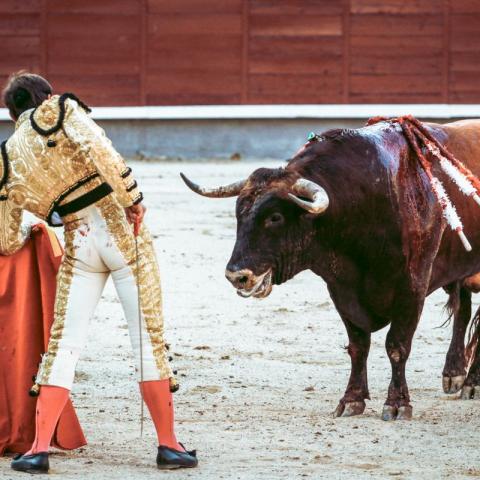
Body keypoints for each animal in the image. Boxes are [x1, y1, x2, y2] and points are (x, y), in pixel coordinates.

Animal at [180, 119, 480, 420]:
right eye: (239, 214)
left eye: (275, 217)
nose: (237, 275)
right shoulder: (341, 289)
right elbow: (358, 345)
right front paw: (352, 400)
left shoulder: (412, 287)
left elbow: (397, 345)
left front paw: (397, 404)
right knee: (463, 311)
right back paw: (454, 375)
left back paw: (472, 384)